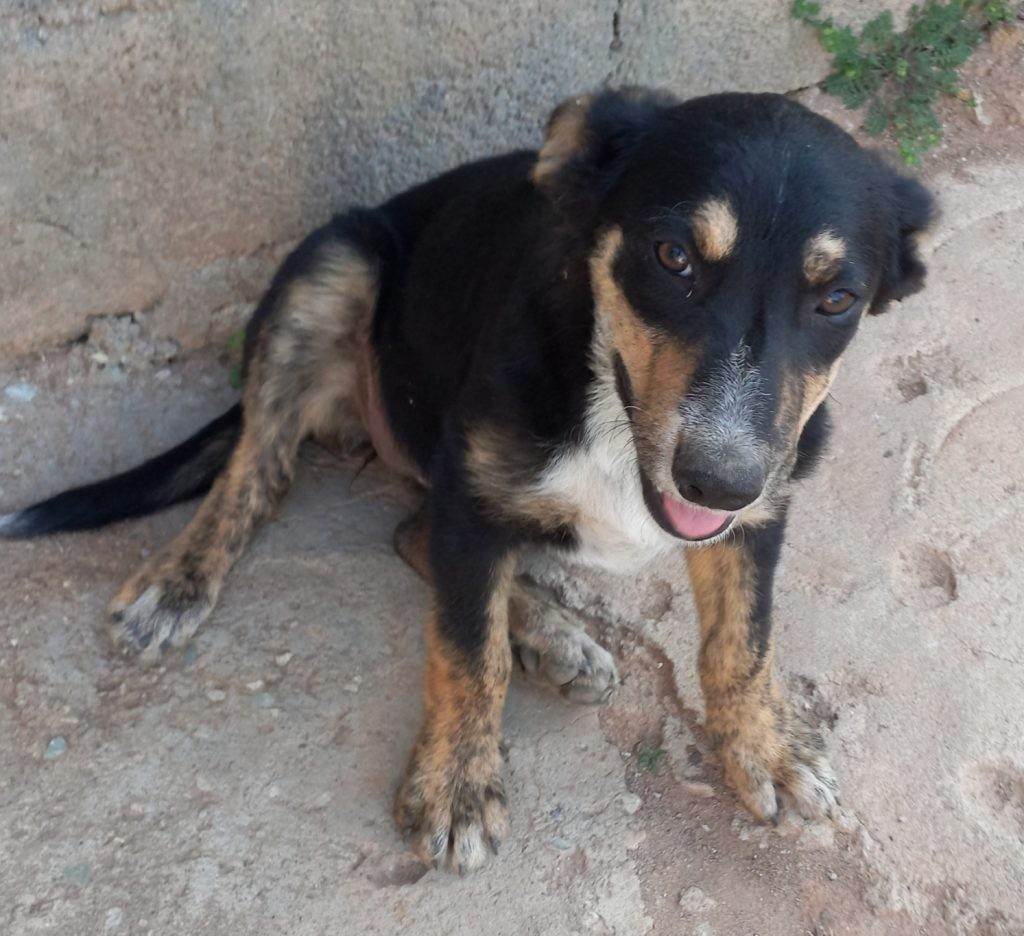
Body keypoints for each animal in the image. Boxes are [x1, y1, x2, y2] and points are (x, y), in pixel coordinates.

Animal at [1, 88, 933, 873]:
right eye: (671, 257)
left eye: (838, 299)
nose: (716, 479)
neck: (609, 405)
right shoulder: (477, 492)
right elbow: (464, 651)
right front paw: (454, 784)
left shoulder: (763, 506)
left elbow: (743, 642)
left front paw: (764, 745)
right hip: (336, 268)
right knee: (256, 474)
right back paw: (180, 583)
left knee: (414, 532)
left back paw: (552, 637)